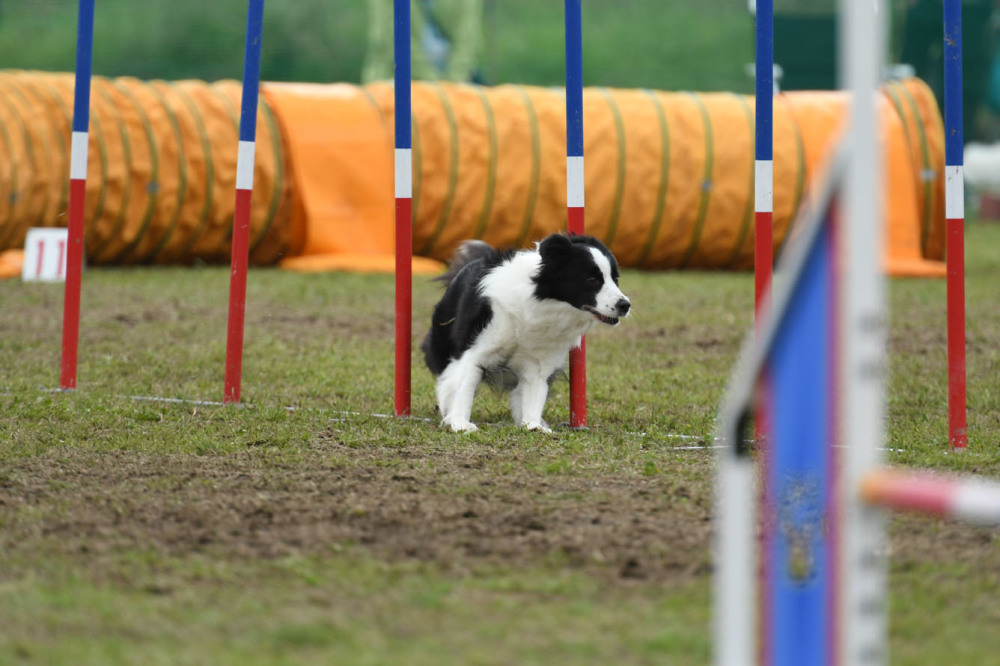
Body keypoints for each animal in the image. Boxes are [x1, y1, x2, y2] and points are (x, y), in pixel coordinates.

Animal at [420, 233, 624, 430]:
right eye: (592, 279)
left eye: (616, 279)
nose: (625, 305)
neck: (543, 303)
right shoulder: (476, 348)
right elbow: (464, 386)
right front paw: (459, 423)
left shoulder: (539, 361)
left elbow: (534, 392)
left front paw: (533, 425)